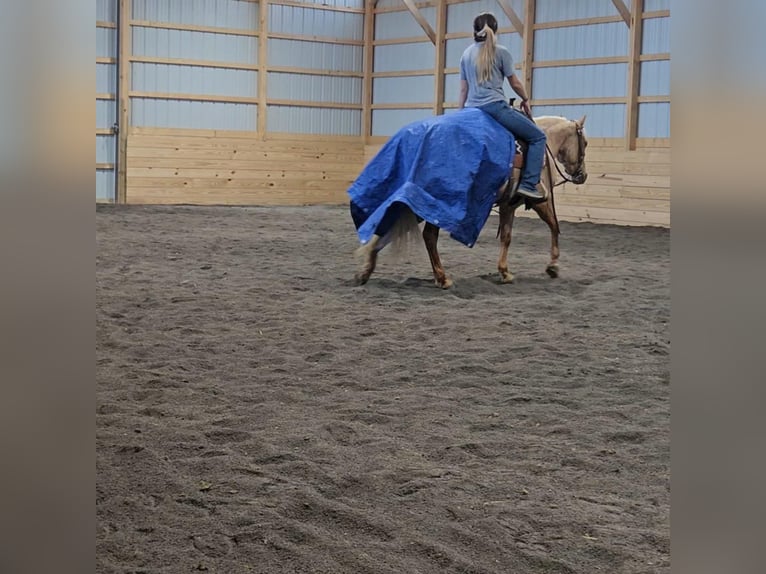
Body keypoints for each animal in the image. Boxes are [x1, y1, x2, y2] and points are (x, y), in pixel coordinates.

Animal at [356, 115, 592, 290]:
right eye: (585, 143)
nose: (583, 175)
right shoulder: (539, 201)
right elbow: (554, 226)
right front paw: (553, 266)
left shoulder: (508, 205)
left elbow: (506, 237)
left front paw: (504, 271)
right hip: (432, 205)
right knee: (428, 237)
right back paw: (442, 278)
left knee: (387, 225)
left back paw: (366, 269)